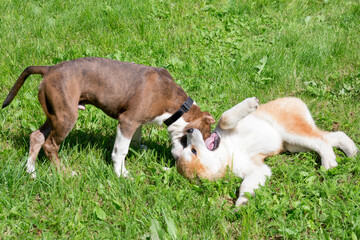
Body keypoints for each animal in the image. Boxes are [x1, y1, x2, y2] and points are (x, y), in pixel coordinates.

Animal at [2, 57, 215, 178]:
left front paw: (139, 148)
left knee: (37, 136)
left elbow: (135, 139)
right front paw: (121, 173)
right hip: (66, 116)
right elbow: (120, 150)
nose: (180, 160)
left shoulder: (136, 121)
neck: (177, 106)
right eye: (195, 145)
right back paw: (64, 173)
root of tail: (49, 69)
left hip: (55, 113)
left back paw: (31, 171)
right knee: (50, 145)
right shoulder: (127, 121)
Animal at [176, 97, 358, 206]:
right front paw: (242, 202)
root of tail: (293, 99)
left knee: (322, 141)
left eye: (191, 149)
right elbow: (247, 185)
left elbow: (225, 117)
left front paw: (250, 104)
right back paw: (350, 151)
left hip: (292, 132)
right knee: (330, 138)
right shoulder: (257, 169)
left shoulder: (226, 127)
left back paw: (329, 162)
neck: (229, 150)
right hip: (294, 144)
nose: (189, 130)